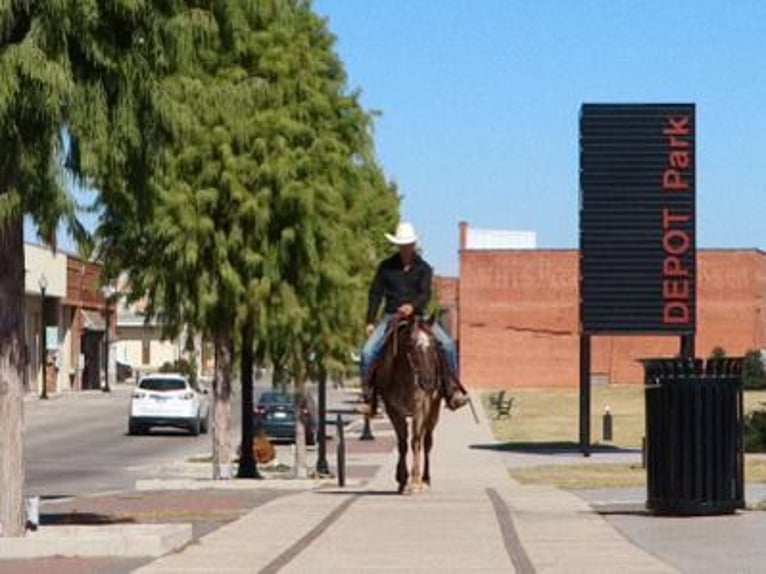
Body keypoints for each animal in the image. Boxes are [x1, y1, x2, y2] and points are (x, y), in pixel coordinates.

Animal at [372, 316, 444, 496]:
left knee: (426, 442)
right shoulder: (393, 410)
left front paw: (414, 482)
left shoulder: (419, 408)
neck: (403, 376)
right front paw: (402, 479)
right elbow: (402, 442)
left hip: (433, 411)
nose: (428, 382)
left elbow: (415, 441)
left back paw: (425, 480)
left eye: (434, 345)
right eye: (411, 344)